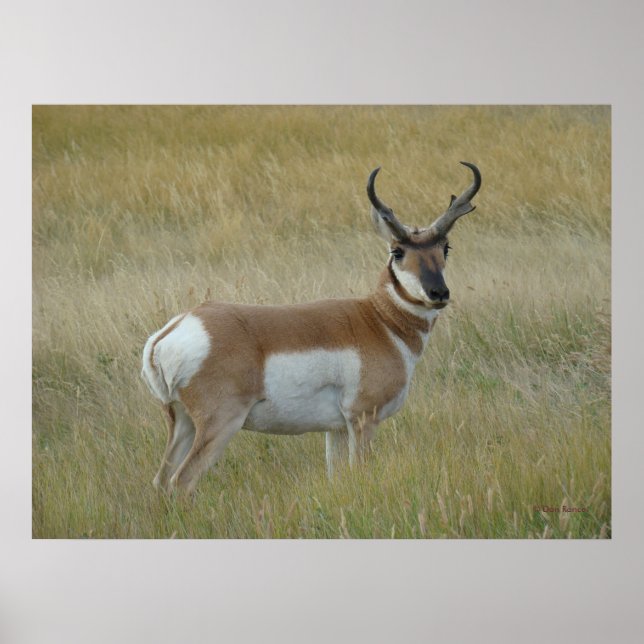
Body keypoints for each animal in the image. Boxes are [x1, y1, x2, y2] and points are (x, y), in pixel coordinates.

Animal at [142, 162, 481, 494]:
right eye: (397, 251)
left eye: (445, 248)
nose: (438, 293)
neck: (379, 322)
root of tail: (173, 331)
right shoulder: (363, 419)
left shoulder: (336, 428)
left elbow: (338, 476)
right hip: (221, 424)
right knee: (182, 481)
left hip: (182, 422)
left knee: (161, 480)